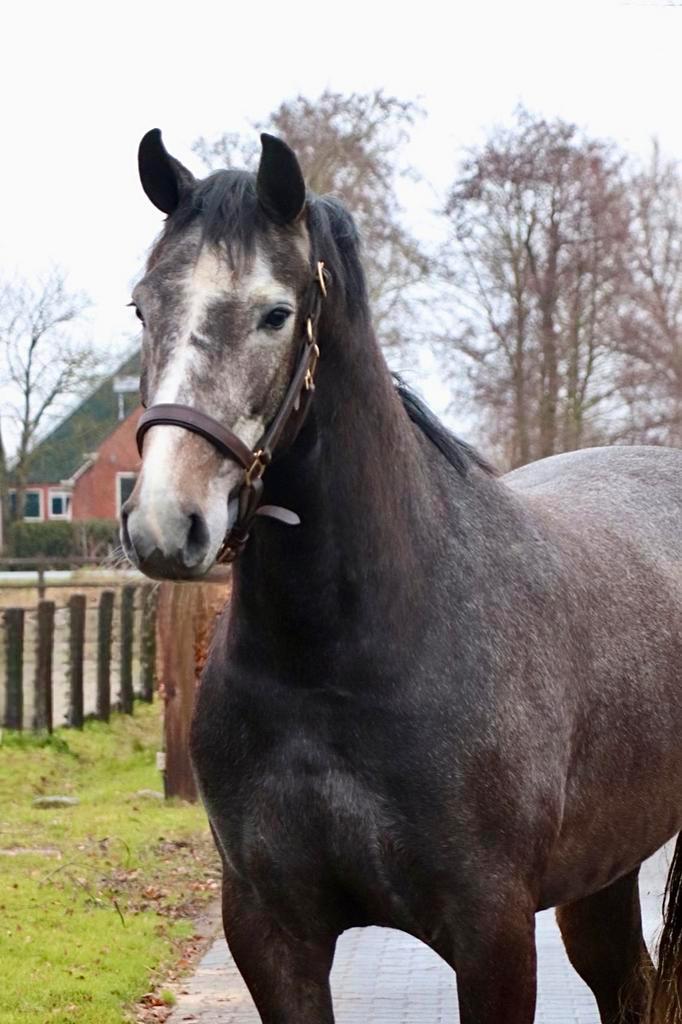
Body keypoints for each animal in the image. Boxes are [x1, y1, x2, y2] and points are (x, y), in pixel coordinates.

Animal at [122, 128, 682, 1024]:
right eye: (144, 306)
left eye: (276, 312)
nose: (167, 523)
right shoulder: (270, 933)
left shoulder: (492, 934)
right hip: (606, 866)